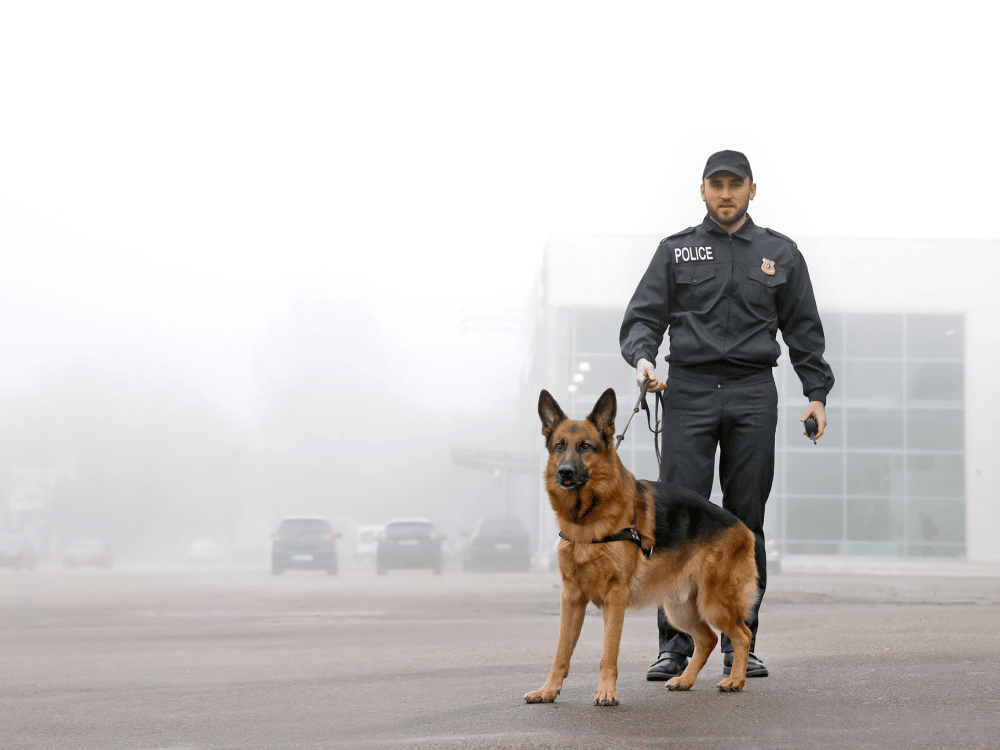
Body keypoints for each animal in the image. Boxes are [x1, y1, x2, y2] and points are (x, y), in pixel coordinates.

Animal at [528, 390, 752, 708]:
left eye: (585, 446)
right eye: (559, 446)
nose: (565, 473)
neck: (587, 520)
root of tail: (741, 526)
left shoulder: (615, 597)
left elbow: (608, 653)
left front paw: (606, 693)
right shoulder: (571, 597)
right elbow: (561, 652)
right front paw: (548, 690)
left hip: (714, 603)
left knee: (742, 635)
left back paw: (736, 680)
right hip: (680, 608)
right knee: (707, 639)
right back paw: (685, 680)